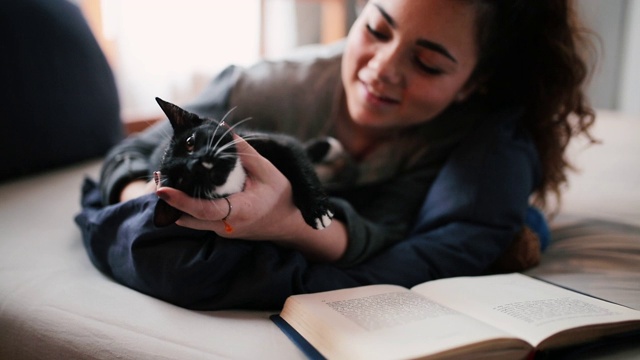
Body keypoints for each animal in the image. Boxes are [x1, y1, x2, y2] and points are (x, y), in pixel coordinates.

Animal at [154, 96, 336, 231]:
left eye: (189, 142)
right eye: (182, 179)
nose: (197, 163)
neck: (238, 175)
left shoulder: (277, 143)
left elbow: (298, 163)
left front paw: (317, 210)